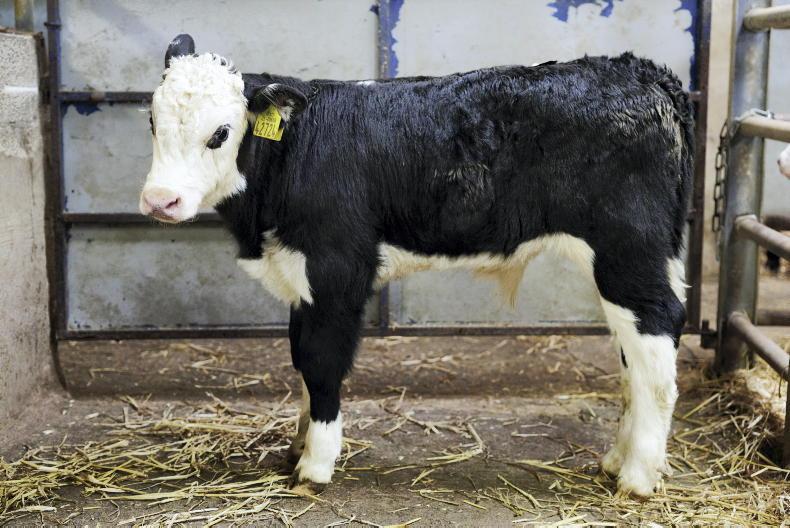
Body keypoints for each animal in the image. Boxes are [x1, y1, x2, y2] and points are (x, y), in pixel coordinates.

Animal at [140, 34, 693, 497]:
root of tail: (638, 71)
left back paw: (638, 476)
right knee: (635, 355)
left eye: (220, 133)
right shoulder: (301, 277)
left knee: (656, 346)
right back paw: (616, 459)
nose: (160, 200)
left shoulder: (337, 271)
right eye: (151, 121)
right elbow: (299, 358)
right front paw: (296, 447)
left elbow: (320, 362)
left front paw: (315, 466)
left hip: (627, 252)